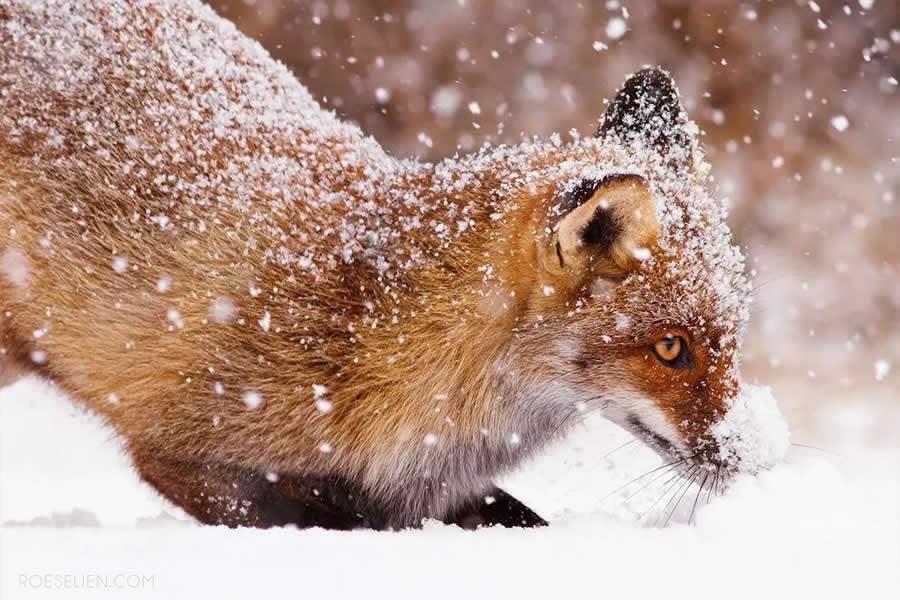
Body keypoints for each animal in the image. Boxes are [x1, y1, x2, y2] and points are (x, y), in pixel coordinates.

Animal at [0, 0, 778, 530]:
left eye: (732, 340)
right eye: (671, 350)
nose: (757, 456)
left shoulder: (432, 490)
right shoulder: (186, 451)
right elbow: (317, 519)